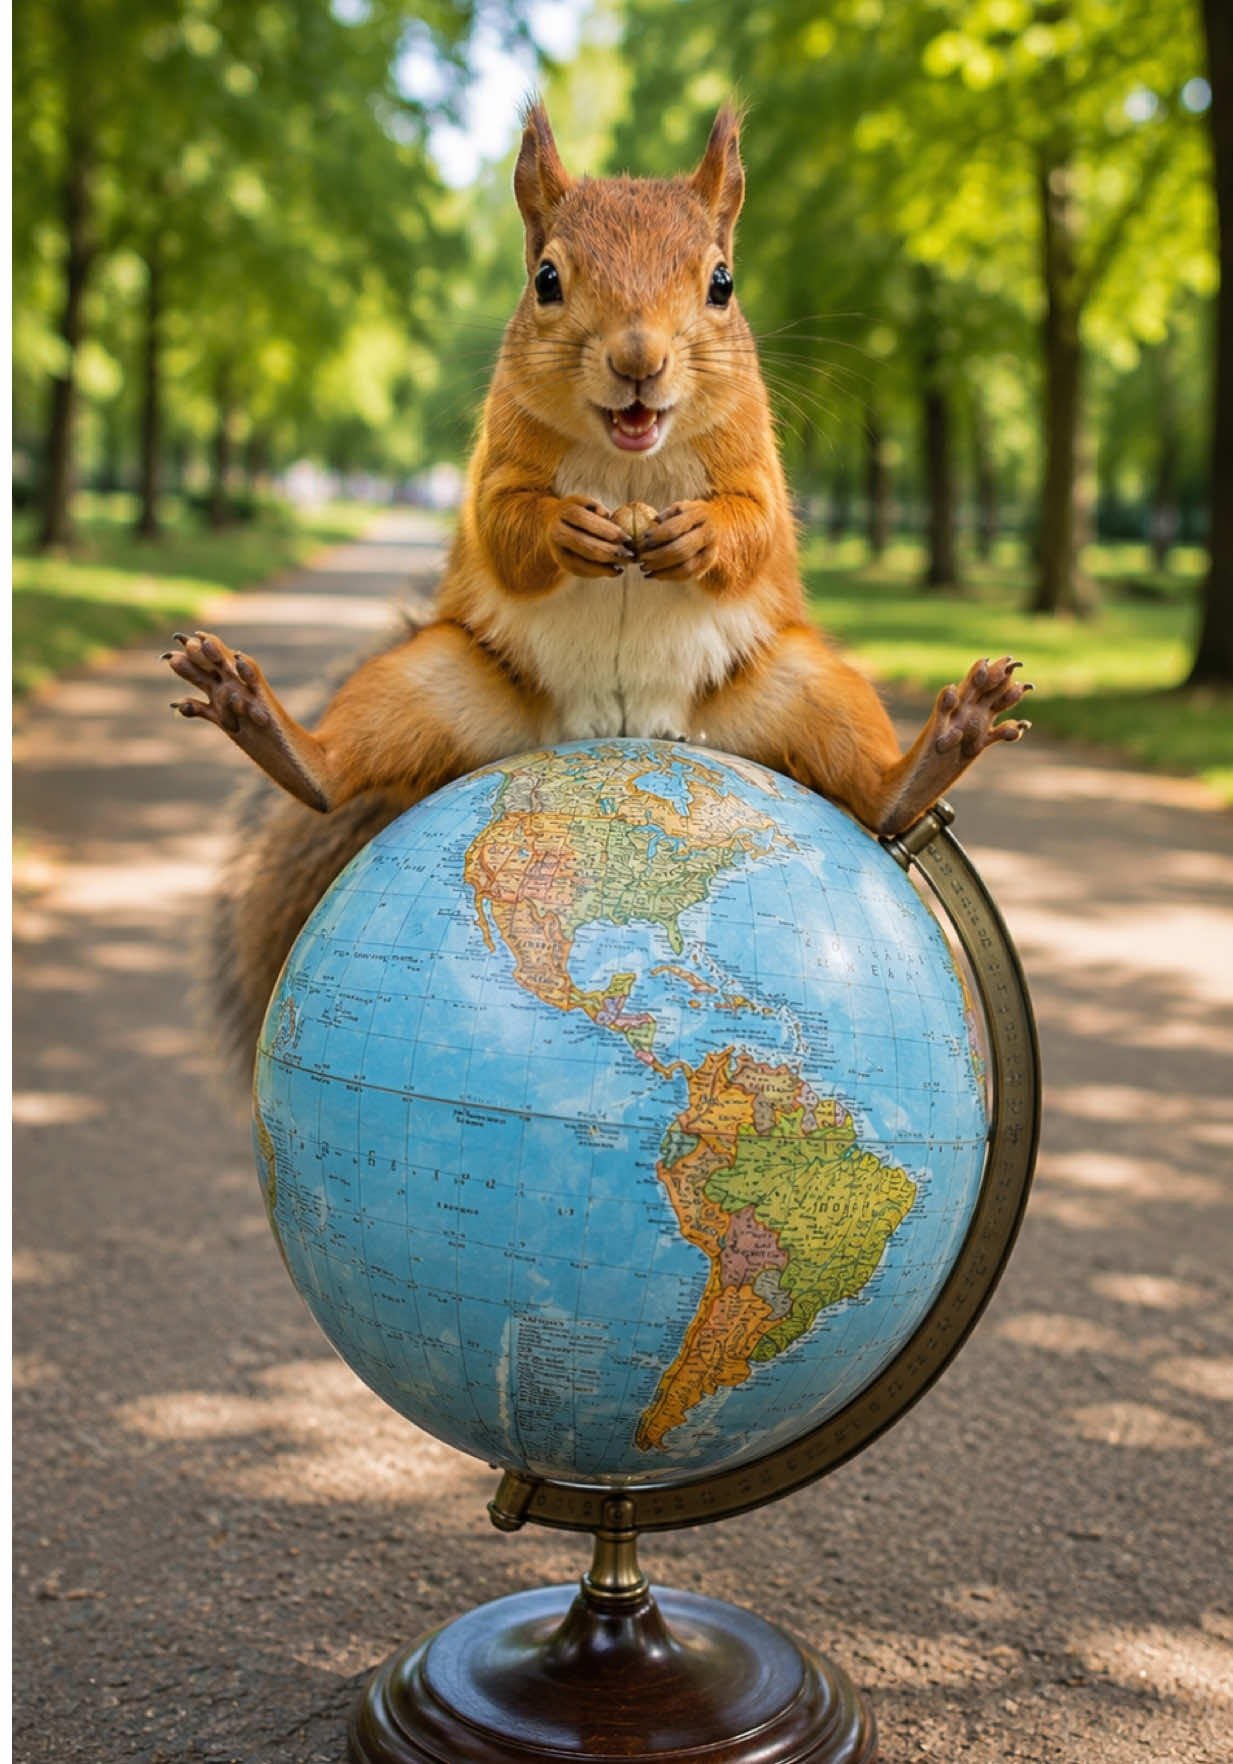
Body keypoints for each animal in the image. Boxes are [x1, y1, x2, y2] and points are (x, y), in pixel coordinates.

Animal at [166, 103, 1031, 1076]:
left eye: (722, 283)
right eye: (546, 279)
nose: (637, 358)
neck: (629, 465)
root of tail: (610, 728)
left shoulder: (755, 462)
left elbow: (757, 529)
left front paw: (699, 536)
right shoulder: (498, 460)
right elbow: (504, 527)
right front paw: (563, 532)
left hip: (795, 686)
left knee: (870, 782)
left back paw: (938, 748)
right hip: (442, 678)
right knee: (338, 771)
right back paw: (265, 725)